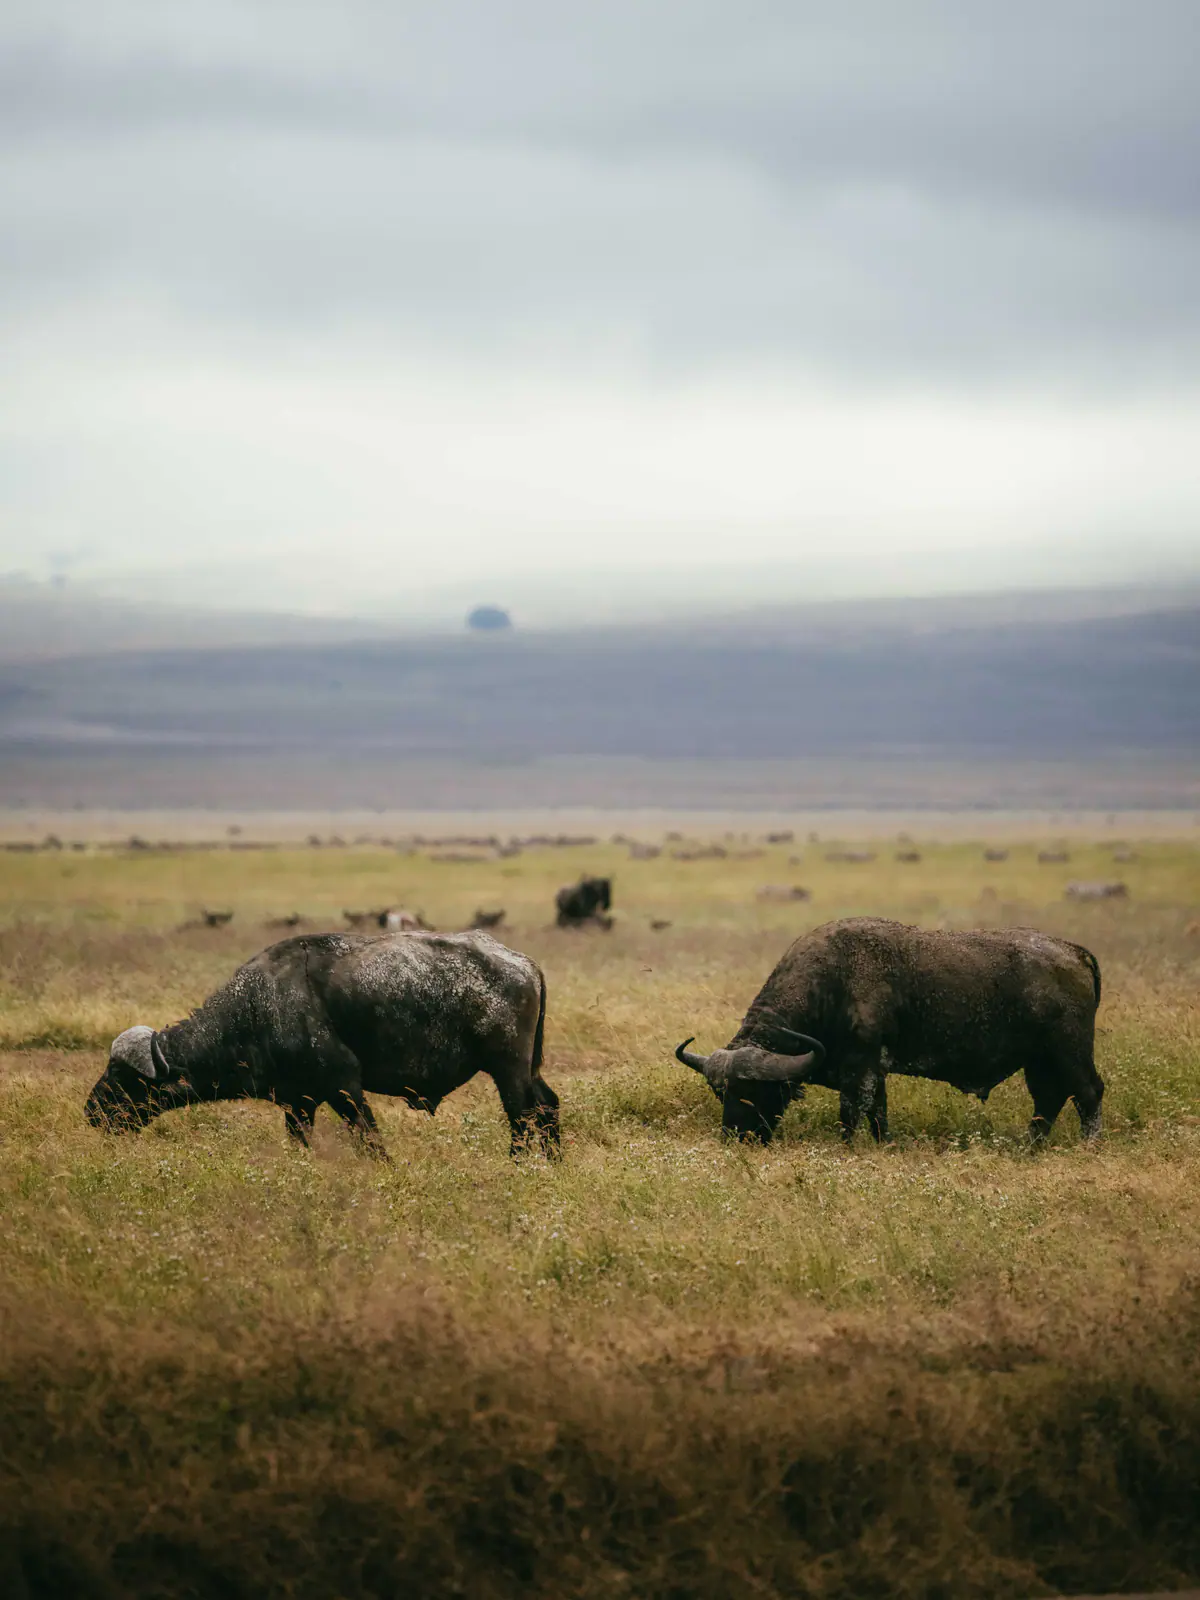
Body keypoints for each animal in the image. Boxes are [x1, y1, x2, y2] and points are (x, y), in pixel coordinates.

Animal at [86, 930, 559, 1159]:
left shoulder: (345, 1088)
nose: (91, 1111)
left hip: (507, 1069)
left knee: (522, 1116)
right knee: (548, 1104)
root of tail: (523, 963)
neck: (257, 1009)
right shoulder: (299, 1102)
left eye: (123, 1078)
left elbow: (371, 1142)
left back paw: (518, 1164)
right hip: (528, 1070)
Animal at [674, 916, 1103, 1146]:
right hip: (1038, 1062)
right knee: (1048, 1101)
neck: (833, 983)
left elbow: (851, 1116)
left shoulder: (860, 1071)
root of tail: (1073, 951)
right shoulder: (874, 1073)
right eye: (720, 1093)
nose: (735, 1138)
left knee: (1088, 1094)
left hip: (1069, 1052)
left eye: (753, 1092)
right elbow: (878, 1117)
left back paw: (1088, 1145)